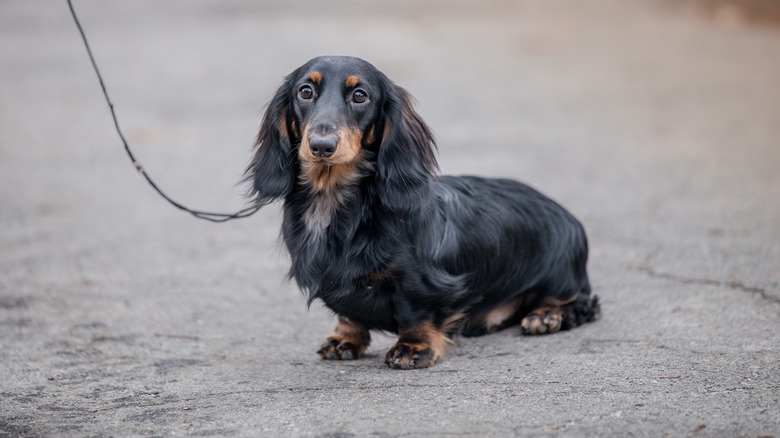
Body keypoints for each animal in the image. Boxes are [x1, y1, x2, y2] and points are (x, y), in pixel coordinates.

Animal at [247, 55, 600, 370]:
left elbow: (416, 311)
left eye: (360, 95)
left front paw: (413, 347)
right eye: (305, 91)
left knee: (584, 303)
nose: (321, 145)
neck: (334, 200)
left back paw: (547, 316)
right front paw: (344, 339)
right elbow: (348, 315)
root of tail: (564, 213)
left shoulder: (420, 282)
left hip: (560, 277)